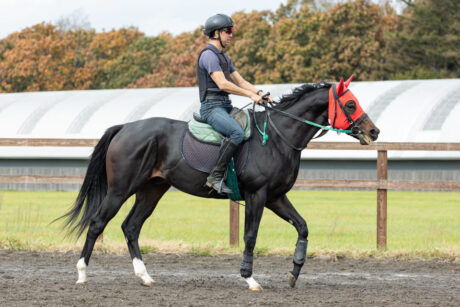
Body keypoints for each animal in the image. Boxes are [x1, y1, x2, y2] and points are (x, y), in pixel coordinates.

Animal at [60, 76, 378, 292]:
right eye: (351, 103)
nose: (374, 131)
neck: (278, 137)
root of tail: (125, 127)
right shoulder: (257, 195)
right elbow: (250, 236)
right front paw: (249, 278)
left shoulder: (276, 197)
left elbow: (302, 227)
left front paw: (294, 272)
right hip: (120, 189)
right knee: (98, 223)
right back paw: (82, 273)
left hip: (151, 190)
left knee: (131, 226)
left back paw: (145, 276)